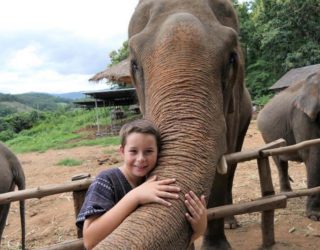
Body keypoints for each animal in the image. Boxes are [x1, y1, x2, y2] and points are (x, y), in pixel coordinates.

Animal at [96, 0, 251, 248]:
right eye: (134, 64)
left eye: (231, 59)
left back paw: (231, 222)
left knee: (232, 166)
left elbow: (221, 168)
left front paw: (215, 246)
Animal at [256, 72, 320, 221]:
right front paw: (314, 216)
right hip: (268, 137)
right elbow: (312, 154)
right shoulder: (302, 116)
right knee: (280, 162)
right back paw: (287, 194)